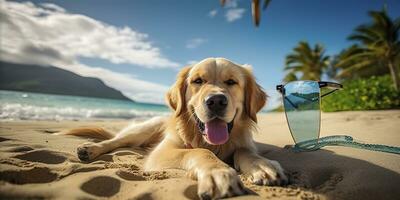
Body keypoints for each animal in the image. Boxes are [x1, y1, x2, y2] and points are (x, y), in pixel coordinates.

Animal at [62, 57, 286, 199]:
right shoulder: (162, 152)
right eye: (198, 81)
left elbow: (245, 151)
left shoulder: (245, 144)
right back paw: (89, 149)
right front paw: (218, 172)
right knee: (115, 140)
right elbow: (199, 151)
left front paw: (262, 166)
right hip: (142, 130)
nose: (216, 101)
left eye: (231, 82)